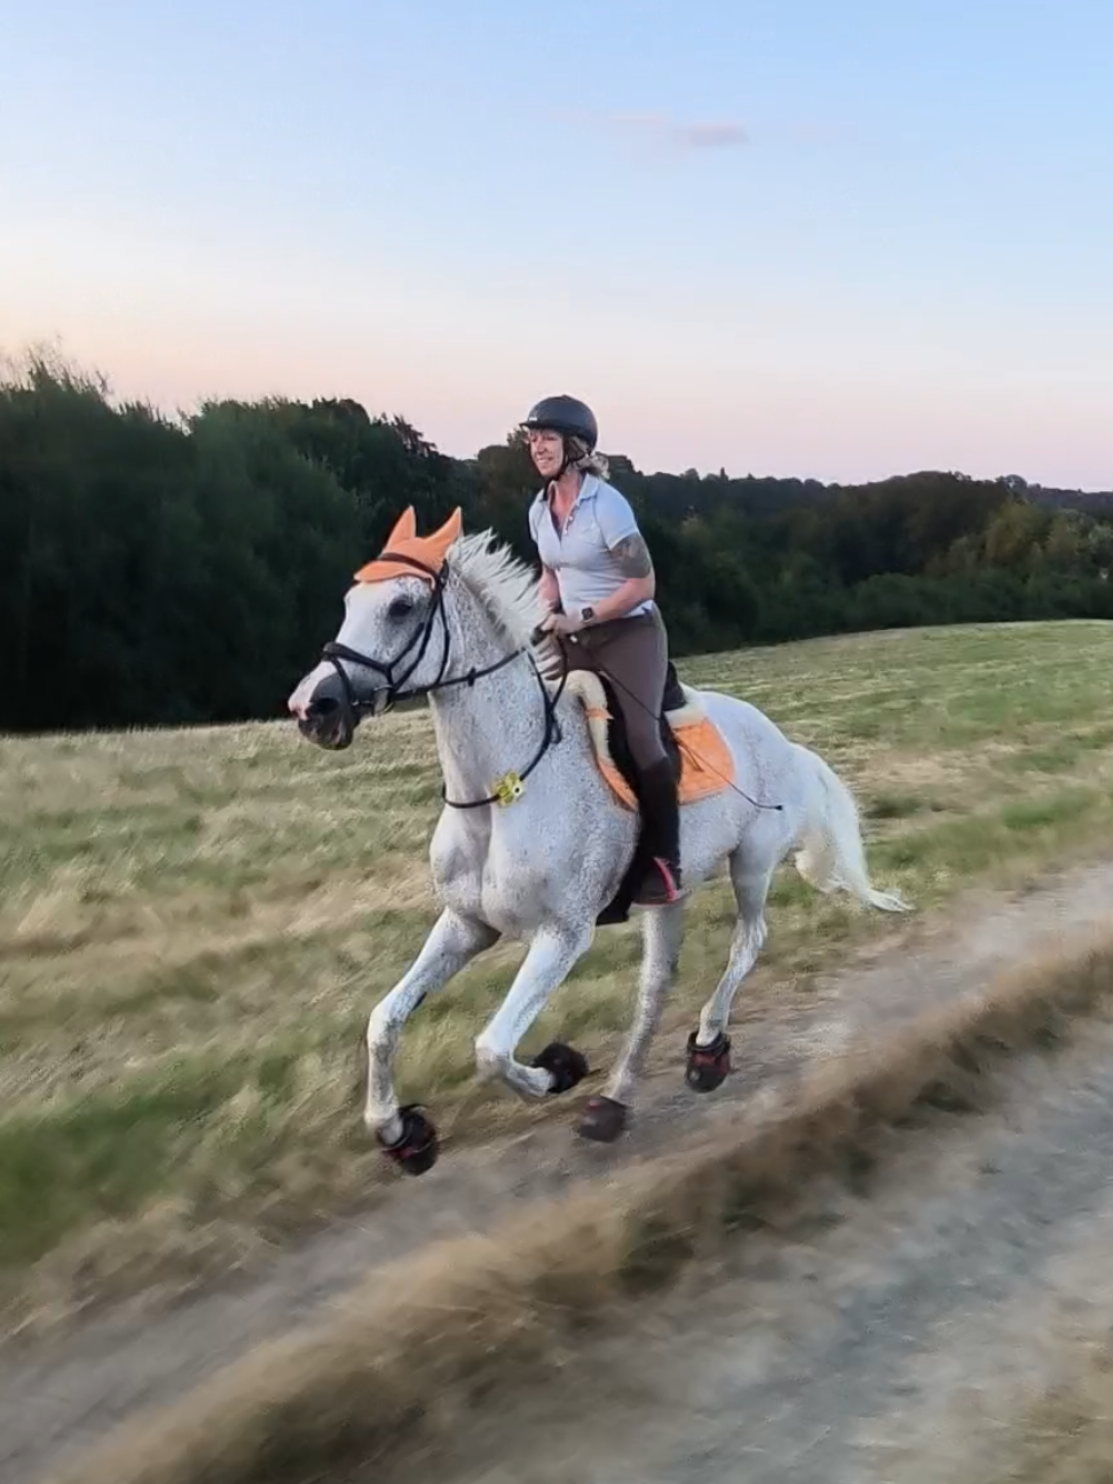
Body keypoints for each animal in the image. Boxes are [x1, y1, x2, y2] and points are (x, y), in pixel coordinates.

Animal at [288, 506, 911, 1175]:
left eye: (402, 606)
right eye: (350, 600)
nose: (312, 707)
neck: (504, 791)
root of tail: (782, 739)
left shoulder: (564, 934)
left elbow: (491, 1049)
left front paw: (559, 1068)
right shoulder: (466, 924)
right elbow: (384, 1021)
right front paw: (401, 1133)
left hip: (752, 862)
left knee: (748, 942)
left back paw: (707, 1049)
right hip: (670, 896)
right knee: (654, 988)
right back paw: (615, 1102)